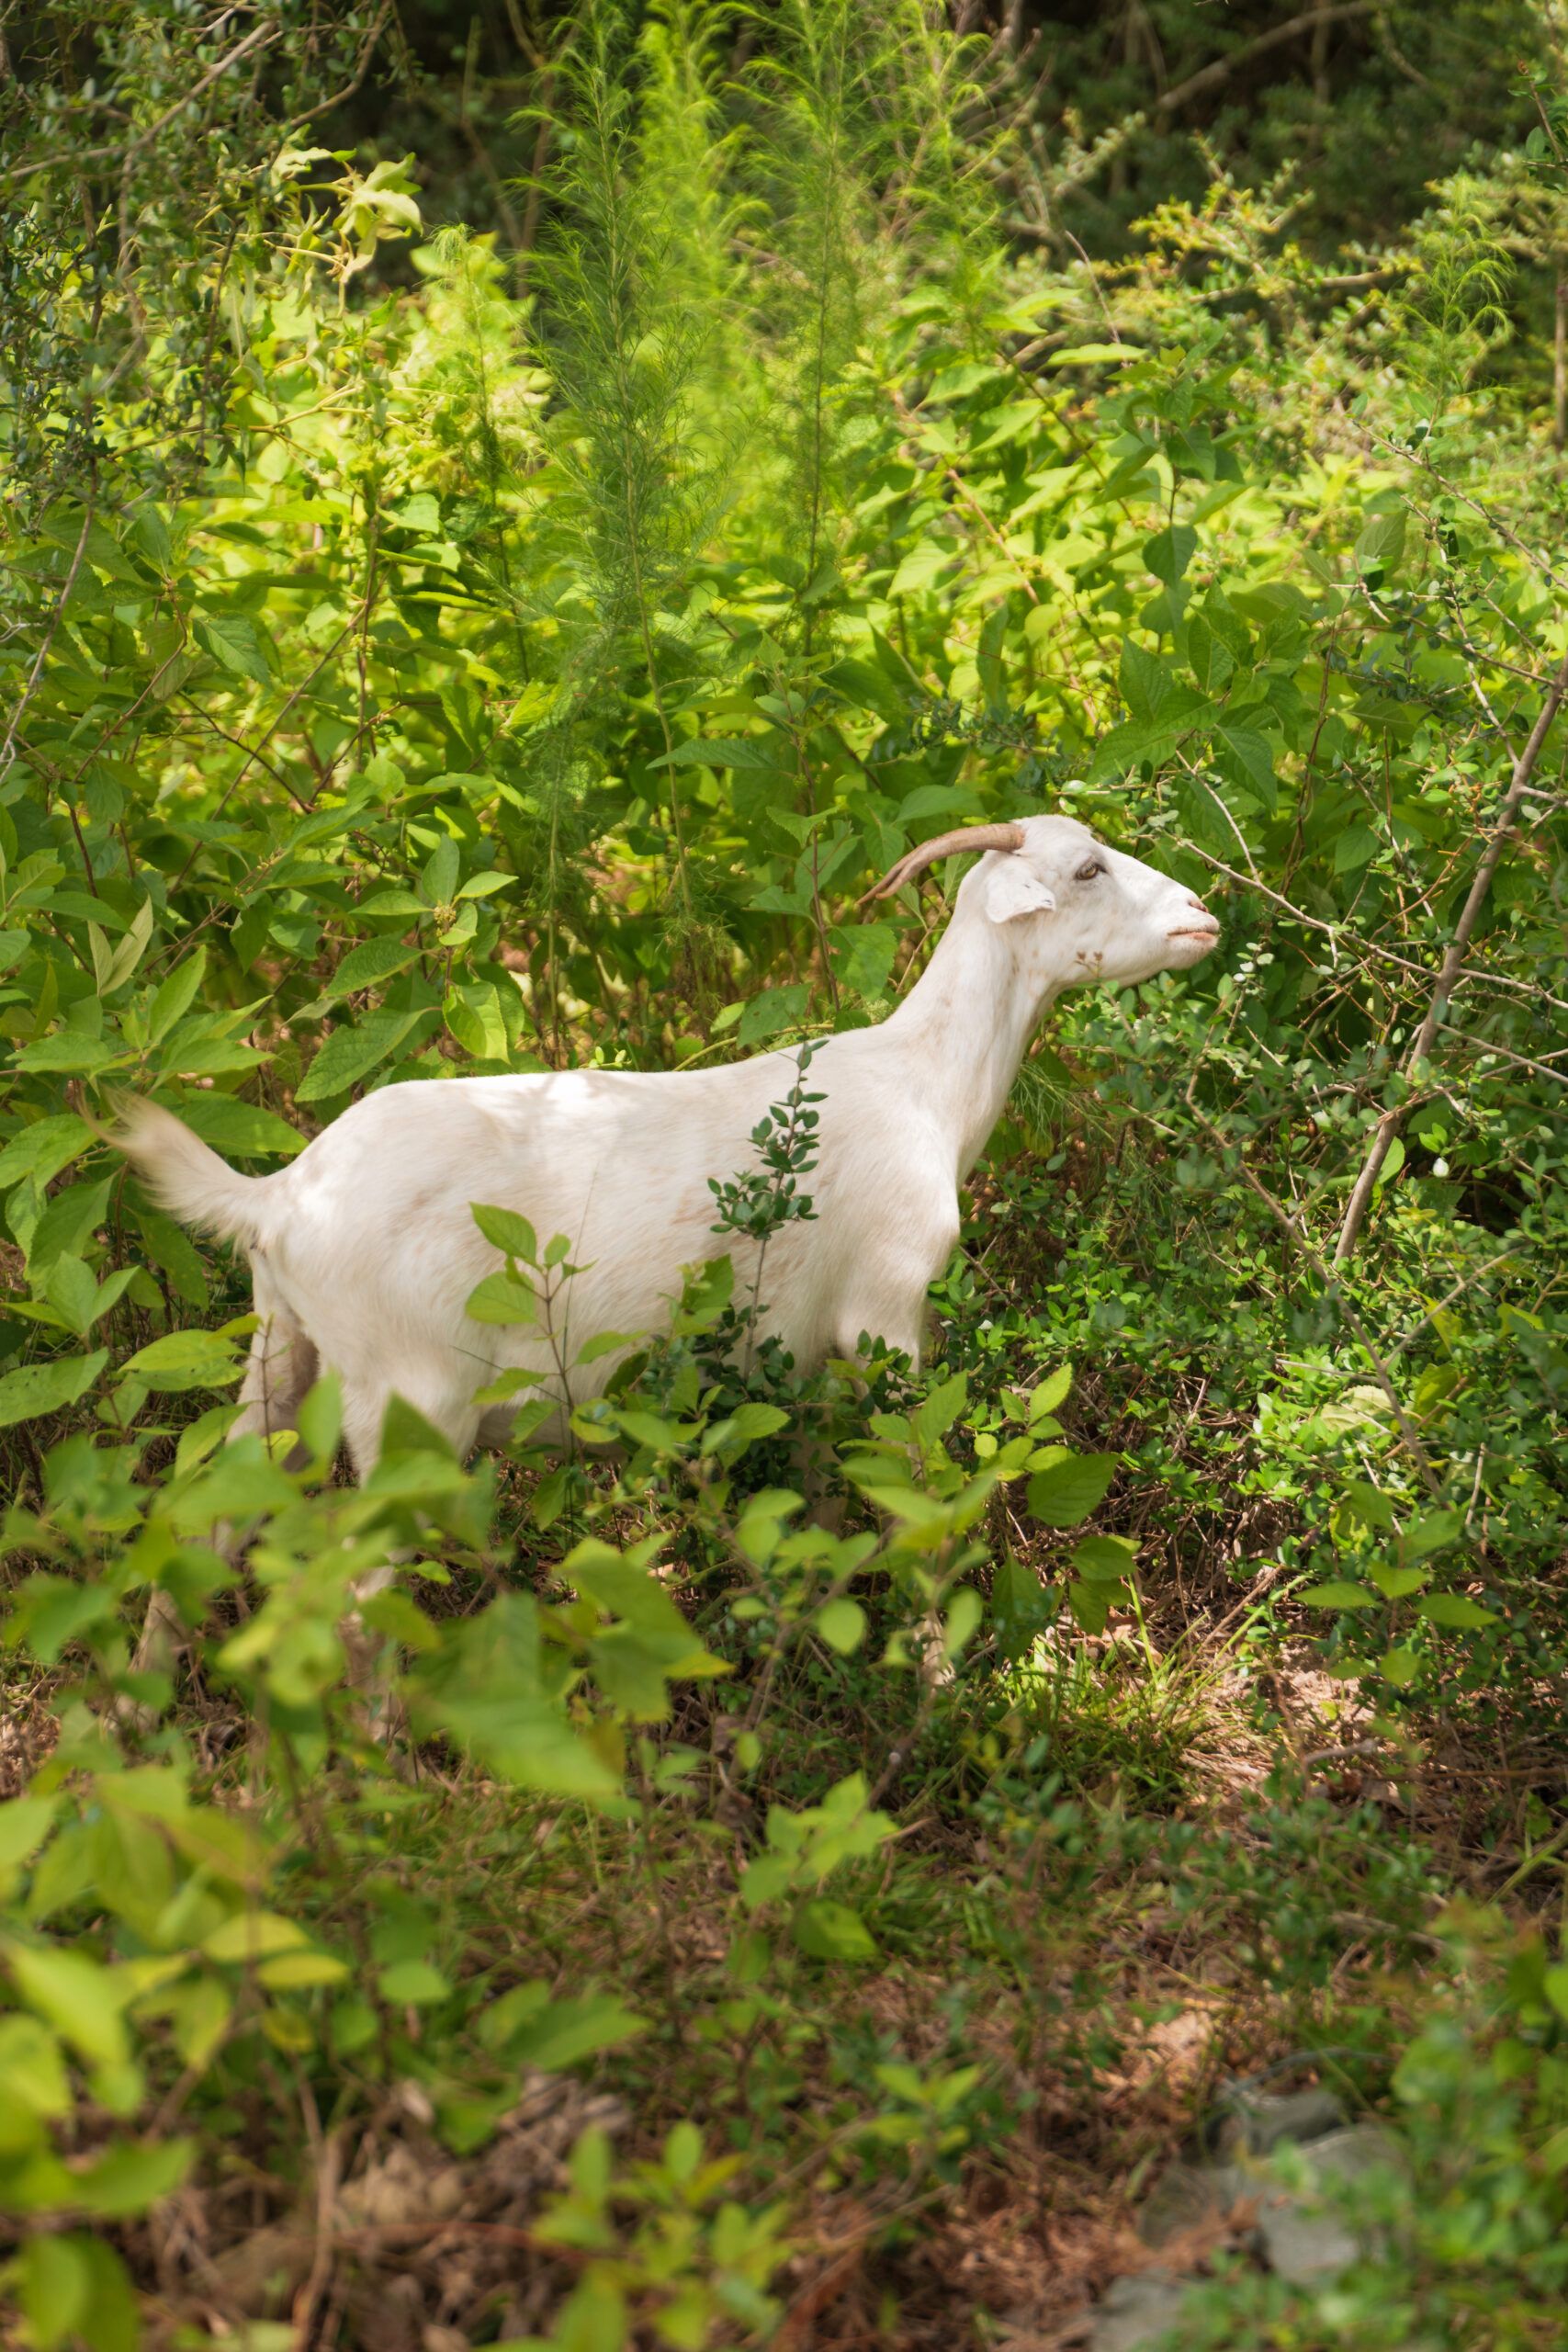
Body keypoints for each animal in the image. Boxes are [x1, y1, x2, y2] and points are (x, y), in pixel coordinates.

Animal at [117, 815, 1219, 1476]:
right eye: (1086, 868)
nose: (1203, 915)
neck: (923, 1086)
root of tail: (281, 1195)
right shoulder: (886, 1312)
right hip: (408, 1401)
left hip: (278, 1359)